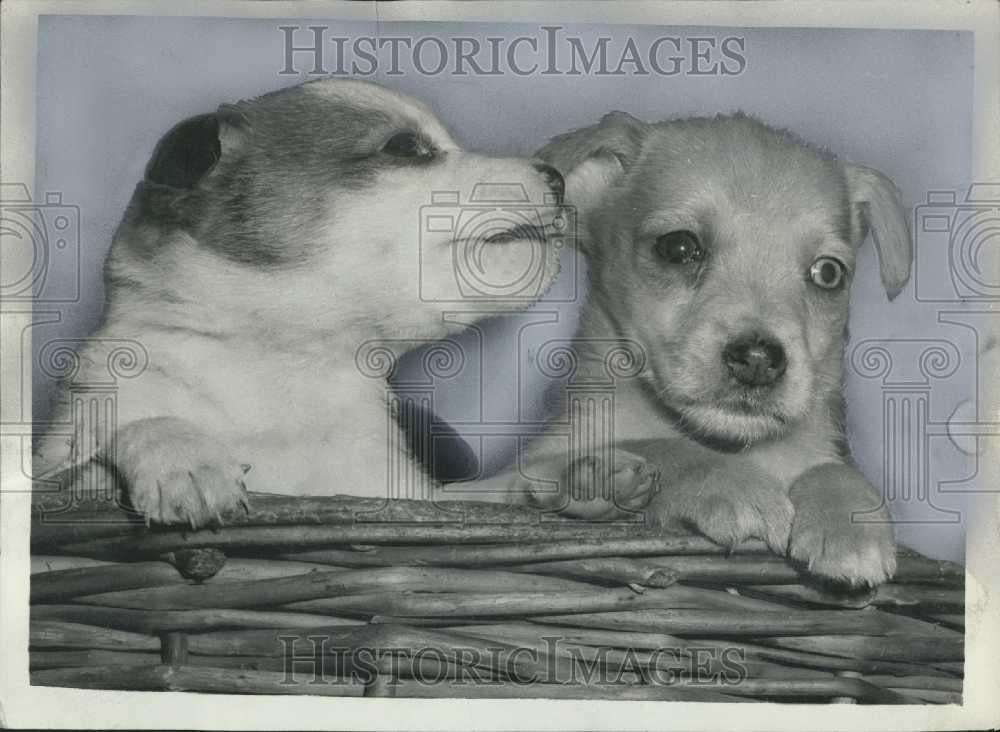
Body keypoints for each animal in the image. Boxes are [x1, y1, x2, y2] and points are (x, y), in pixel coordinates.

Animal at [29, 78, 572, 528]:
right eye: (405, 147)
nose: (558, 175)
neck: (290, 373)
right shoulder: (67, 447)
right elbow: (129, 429)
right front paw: (187, 461)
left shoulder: (402, 495)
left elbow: (470, 496)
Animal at [496, 111, 912, 588]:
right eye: (679, 247)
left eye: (828, 273)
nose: (758, 360)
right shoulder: (513, 475)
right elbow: (668, 449)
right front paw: (728, 484)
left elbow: (833, 468)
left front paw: (849, 519)